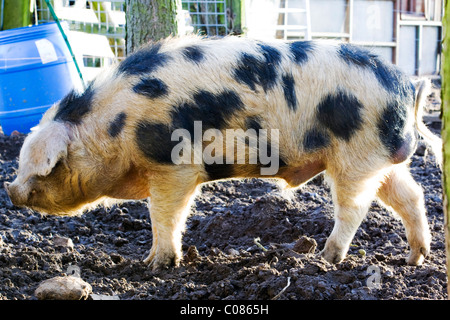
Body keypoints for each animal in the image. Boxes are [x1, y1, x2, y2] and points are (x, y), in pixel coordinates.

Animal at [5, 35, 442, 270]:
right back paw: (416, 259)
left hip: (356, 155)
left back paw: (327, 258)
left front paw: (155, 265)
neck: (115, 124)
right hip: (380, 158)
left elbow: (164, 213)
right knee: (411, 194)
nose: (10, 191)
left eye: (46, 166)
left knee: (354, 208)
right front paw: (151, 262)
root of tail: (408, 85)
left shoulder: (175, 166)